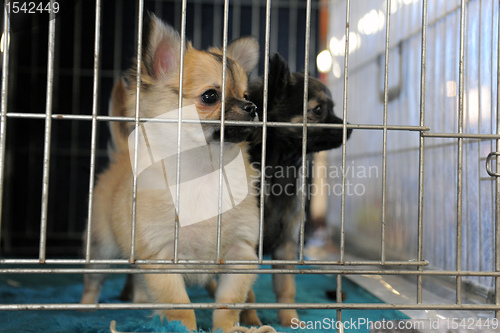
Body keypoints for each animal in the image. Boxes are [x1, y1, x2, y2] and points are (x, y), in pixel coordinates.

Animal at [80, 14, 260, 330]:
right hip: (100, 247)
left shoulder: (241, 254)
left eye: (246, 95)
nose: (252, 107)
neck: (205, 169)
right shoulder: (161, 256)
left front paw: (228, 328)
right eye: (210, 96)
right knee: (94, 281)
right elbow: (179, 306)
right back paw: (86, 308)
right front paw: (182, 327)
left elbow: (228, 304)